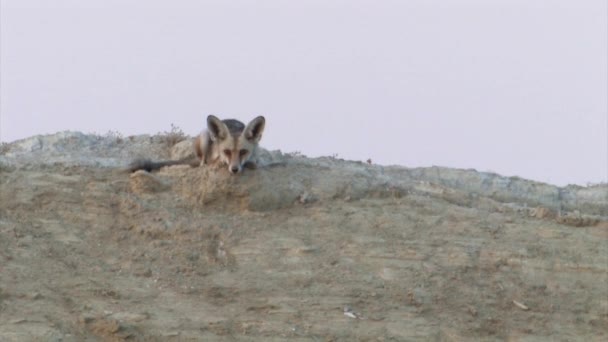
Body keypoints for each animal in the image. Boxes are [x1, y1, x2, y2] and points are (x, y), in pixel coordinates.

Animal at [129, 114, 264, 174]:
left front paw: (252, 163)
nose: (234, 169)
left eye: (243, 151)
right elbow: (215, 161)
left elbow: (255, 162)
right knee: (201, 163)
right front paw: (218, 163)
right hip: (204, 136)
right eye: (226, 151)